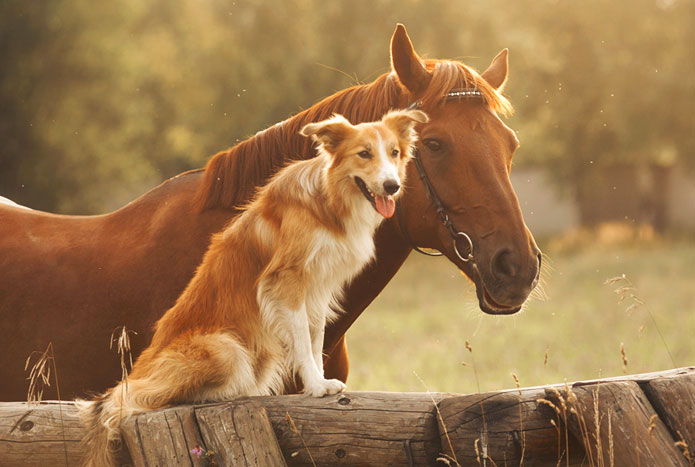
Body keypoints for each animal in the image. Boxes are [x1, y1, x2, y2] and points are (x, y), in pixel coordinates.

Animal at [79, 108, 426, 466]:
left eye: (394, 152)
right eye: (364, 154)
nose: (392, 186)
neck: (328, 200)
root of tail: (140, 370)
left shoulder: (318, 287)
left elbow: (315, 338)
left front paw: (319, 382)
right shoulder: (287, 281)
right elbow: (303, 340)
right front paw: (315, 386)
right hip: (226, 348)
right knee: (131, 398)